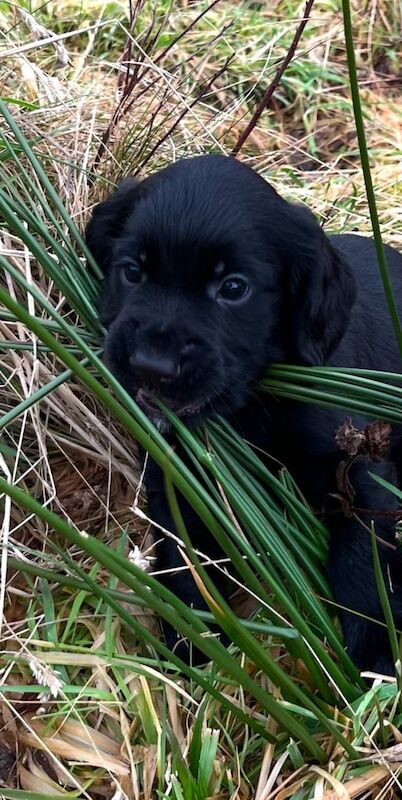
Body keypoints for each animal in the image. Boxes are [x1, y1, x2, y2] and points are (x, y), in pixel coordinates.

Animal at [86, 153, 402, 672]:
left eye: (233, 288)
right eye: (132, 271)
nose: (150, 366)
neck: (250, 406)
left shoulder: (359, 468)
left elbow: (363, 563)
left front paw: (374, 659)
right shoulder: (179, 476)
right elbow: (184, 560)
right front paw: (194, 647)